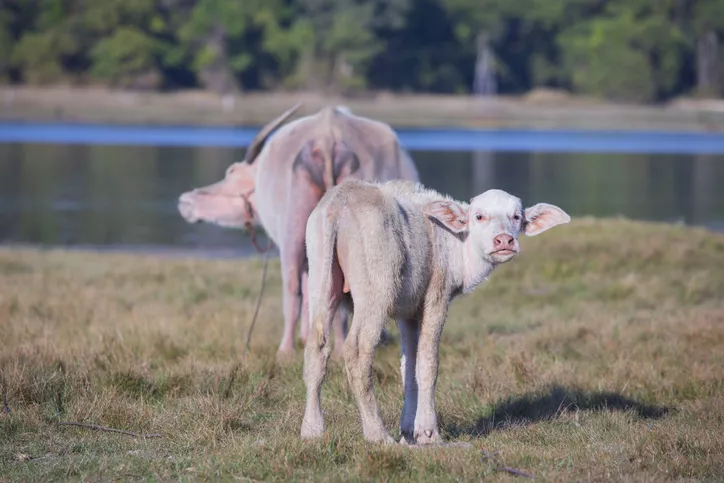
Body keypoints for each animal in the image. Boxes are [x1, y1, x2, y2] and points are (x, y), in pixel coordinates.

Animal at [302, 179, 572, 446]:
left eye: (517, 216)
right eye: (479, 216)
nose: (504, 240)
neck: (459, 247)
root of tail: (339, 201)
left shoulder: (409, 310)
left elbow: (409, 367)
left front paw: (409, 432)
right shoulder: (437, 294)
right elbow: (428, 363)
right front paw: (428, 433)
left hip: (319, 275)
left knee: (317, 346)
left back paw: (312, 430)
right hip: (376, 281)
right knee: (358, 351)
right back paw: (377, 434)